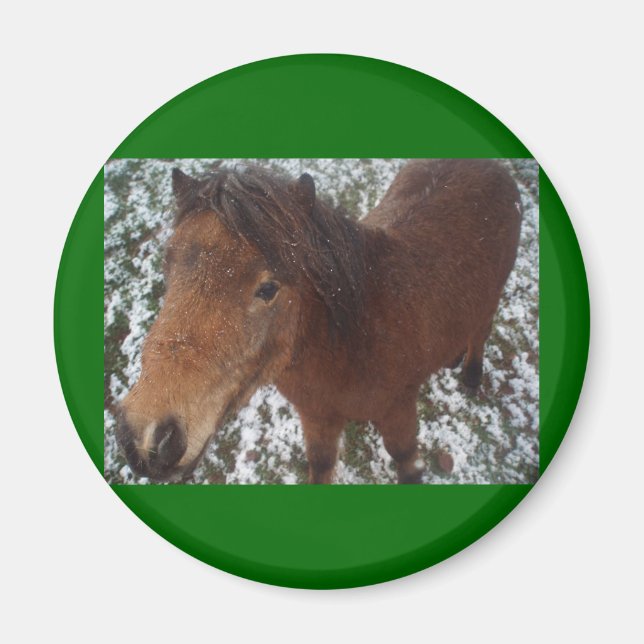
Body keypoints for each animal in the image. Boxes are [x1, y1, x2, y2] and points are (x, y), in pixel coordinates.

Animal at [116, 159, 522, 484]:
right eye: (167, 265)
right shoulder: (317, 418)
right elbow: (321, 465)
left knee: (481, 331)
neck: (354, 338)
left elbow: (407, 462)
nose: (146, 439)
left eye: (268, 288)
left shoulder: (399, 410)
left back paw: (471, 374)